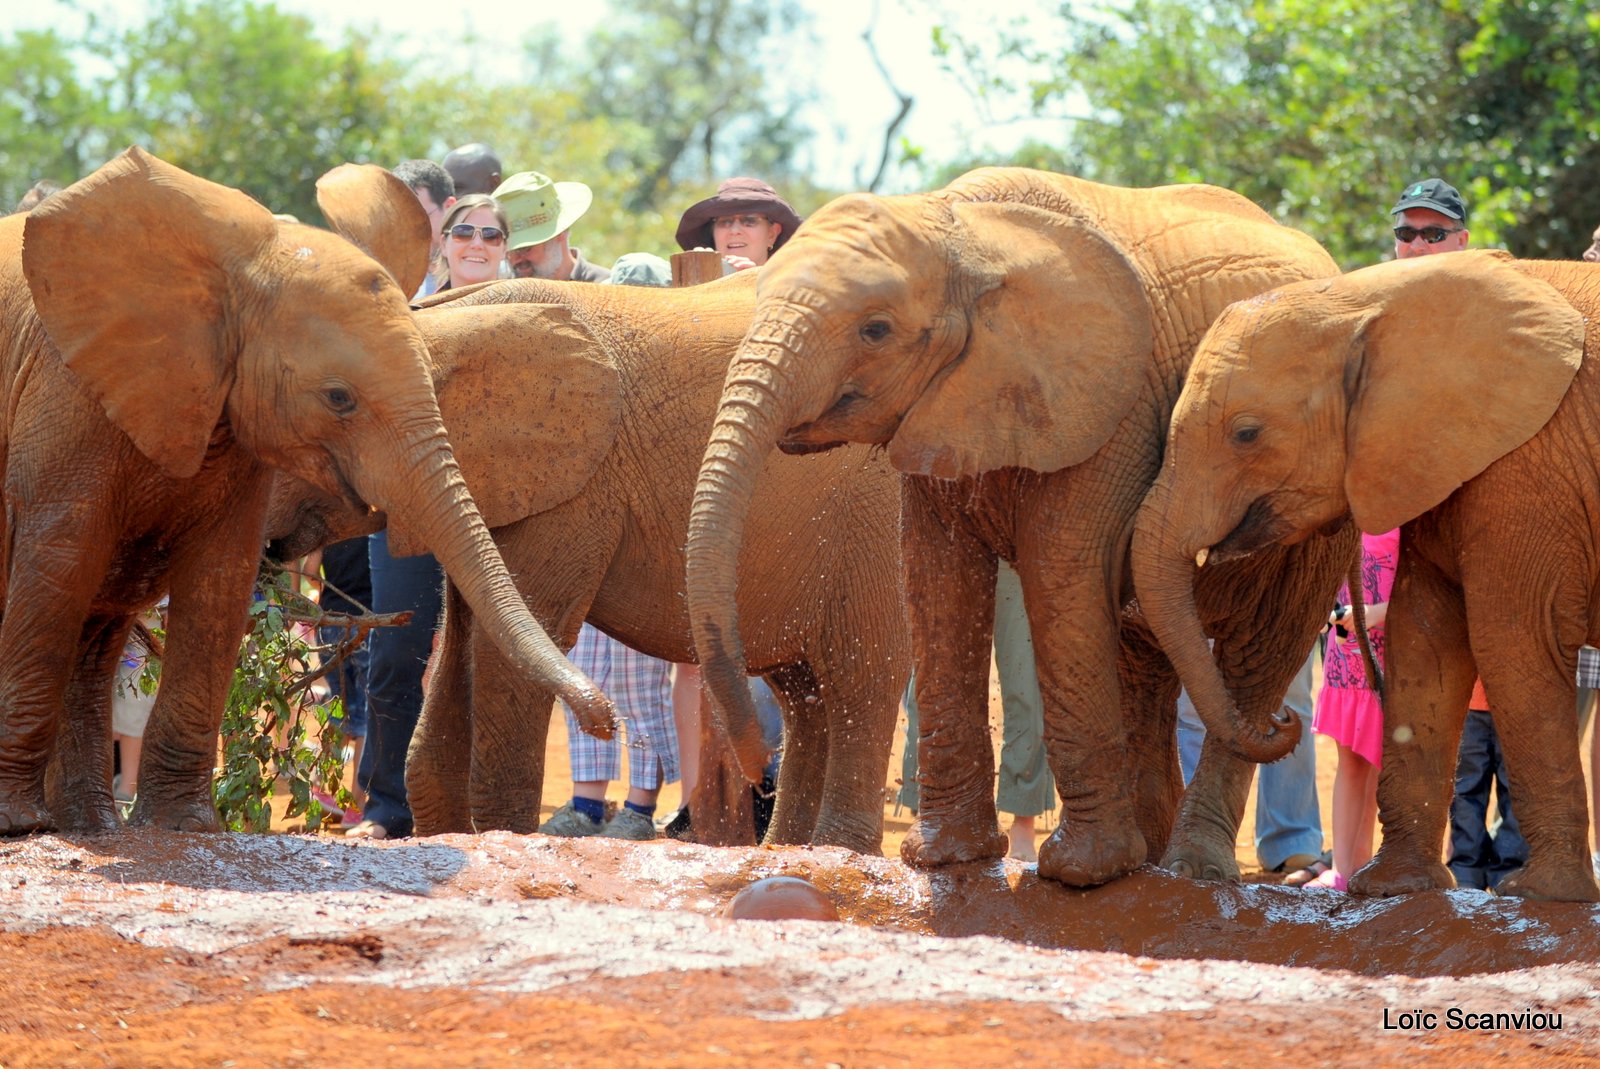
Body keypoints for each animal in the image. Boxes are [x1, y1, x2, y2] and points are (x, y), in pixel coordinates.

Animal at [0, 148, 608, 832]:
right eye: (339, 398)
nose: (605, 721)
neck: (243, 267)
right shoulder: (64, 393)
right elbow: (57, 570)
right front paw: (20, 825)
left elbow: (218, 583)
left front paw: (188, 829)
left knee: (101, 626)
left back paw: (93, 827)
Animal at [377, 278, 915, 851]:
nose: (604, 721)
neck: (448, 323)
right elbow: (463, 640)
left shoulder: (572, 490)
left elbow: (514, 646)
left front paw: (501, 838)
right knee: (804, 695)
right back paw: (787, 850)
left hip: (875, 519)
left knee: (860, 678)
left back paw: (837, 850)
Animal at [681, 167, 1356, 883]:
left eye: (875, 330)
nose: (758, 772)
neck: (964, 232)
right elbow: (936, 576)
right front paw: (946, 858)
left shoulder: (1111, 407)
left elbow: (1063, 569)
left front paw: (1082, 874)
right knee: (1145, 666)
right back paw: (1152, 864)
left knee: (1259, 655)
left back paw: (1191, 869)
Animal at [1132, 251, 1600, 902]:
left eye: (1246, 433)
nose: (1282, 719)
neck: (1371, 297)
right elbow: (1424, 635)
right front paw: (1391, 889)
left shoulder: (1529, 463)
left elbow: (1513, 639)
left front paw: (1541, 894)